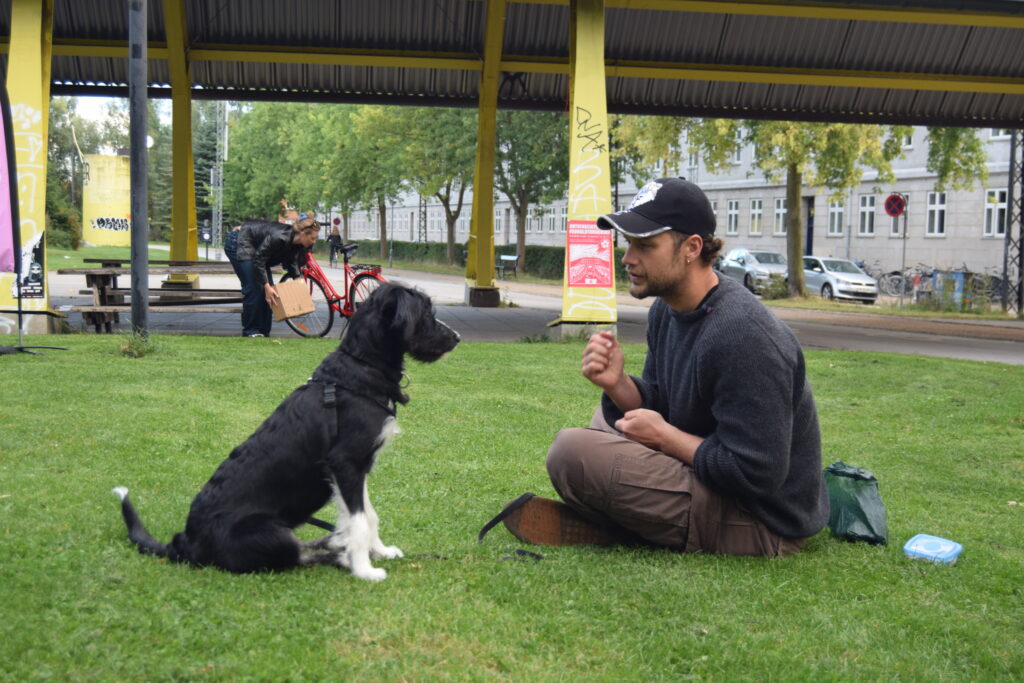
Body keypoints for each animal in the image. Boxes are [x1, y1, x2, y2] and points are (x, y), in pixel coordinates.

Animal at [112, 282, 460, 581]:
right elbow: (359, 521)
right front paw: (364, 569)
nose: (456, 338)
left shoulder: (357, 469)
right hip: (271, 533)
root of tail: (185, 542)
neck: (361, 367)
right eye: (426, 314)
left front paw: (380, 551)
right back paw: (339, 554)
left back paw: (335, 543)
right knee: (297, 554)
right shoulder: (346, 463)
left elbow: (366, 514)